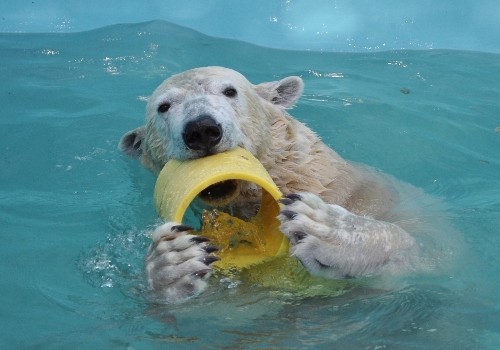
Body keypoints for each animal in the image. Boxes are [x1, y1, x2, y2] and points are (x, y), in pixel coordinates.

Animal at [121, 66, 442, 304]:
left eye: (230, 91)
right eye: (164, 106)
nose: (201, 129)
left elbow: (429, 250)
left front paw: (329, 230)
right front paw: (171, 262)